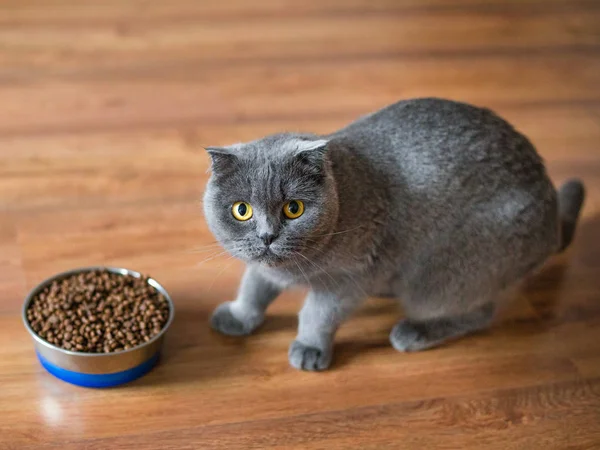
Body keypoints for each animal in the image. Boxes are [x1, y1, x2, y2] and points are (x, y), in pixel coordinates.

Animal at [200, 98, 580, 372]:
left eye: (294, 208)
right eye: (242, 210)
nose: (267, 236)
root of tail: (551, 215)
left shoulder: (348, 279)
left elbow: (317, 314)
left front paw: (309, 347)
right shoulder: (261, 265)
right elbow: (253, 286)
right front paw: (239, 316)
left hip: (439, 276)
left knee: (479, 310)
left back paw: (413, 332)